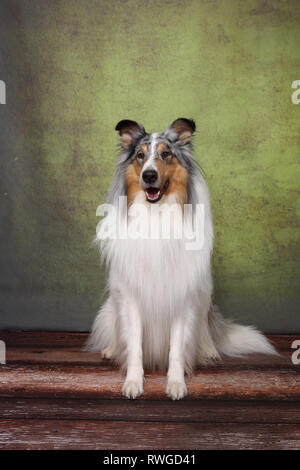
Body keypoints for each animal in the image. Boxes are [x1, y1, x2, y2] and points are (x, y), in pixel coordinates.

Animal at [85, 118, 276, 400]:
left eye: (166, 154)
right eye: (140, 156)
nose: (149, 175)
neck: (156, 216)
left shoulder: (182, 296)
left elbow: (177, 347)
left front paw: (176, 383)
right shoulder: (130, 296)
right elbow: (134, 344)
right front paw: (133, 381)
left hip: (204, 296)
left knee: (204, 331)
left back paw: (208, 350)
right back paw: (111, 349)